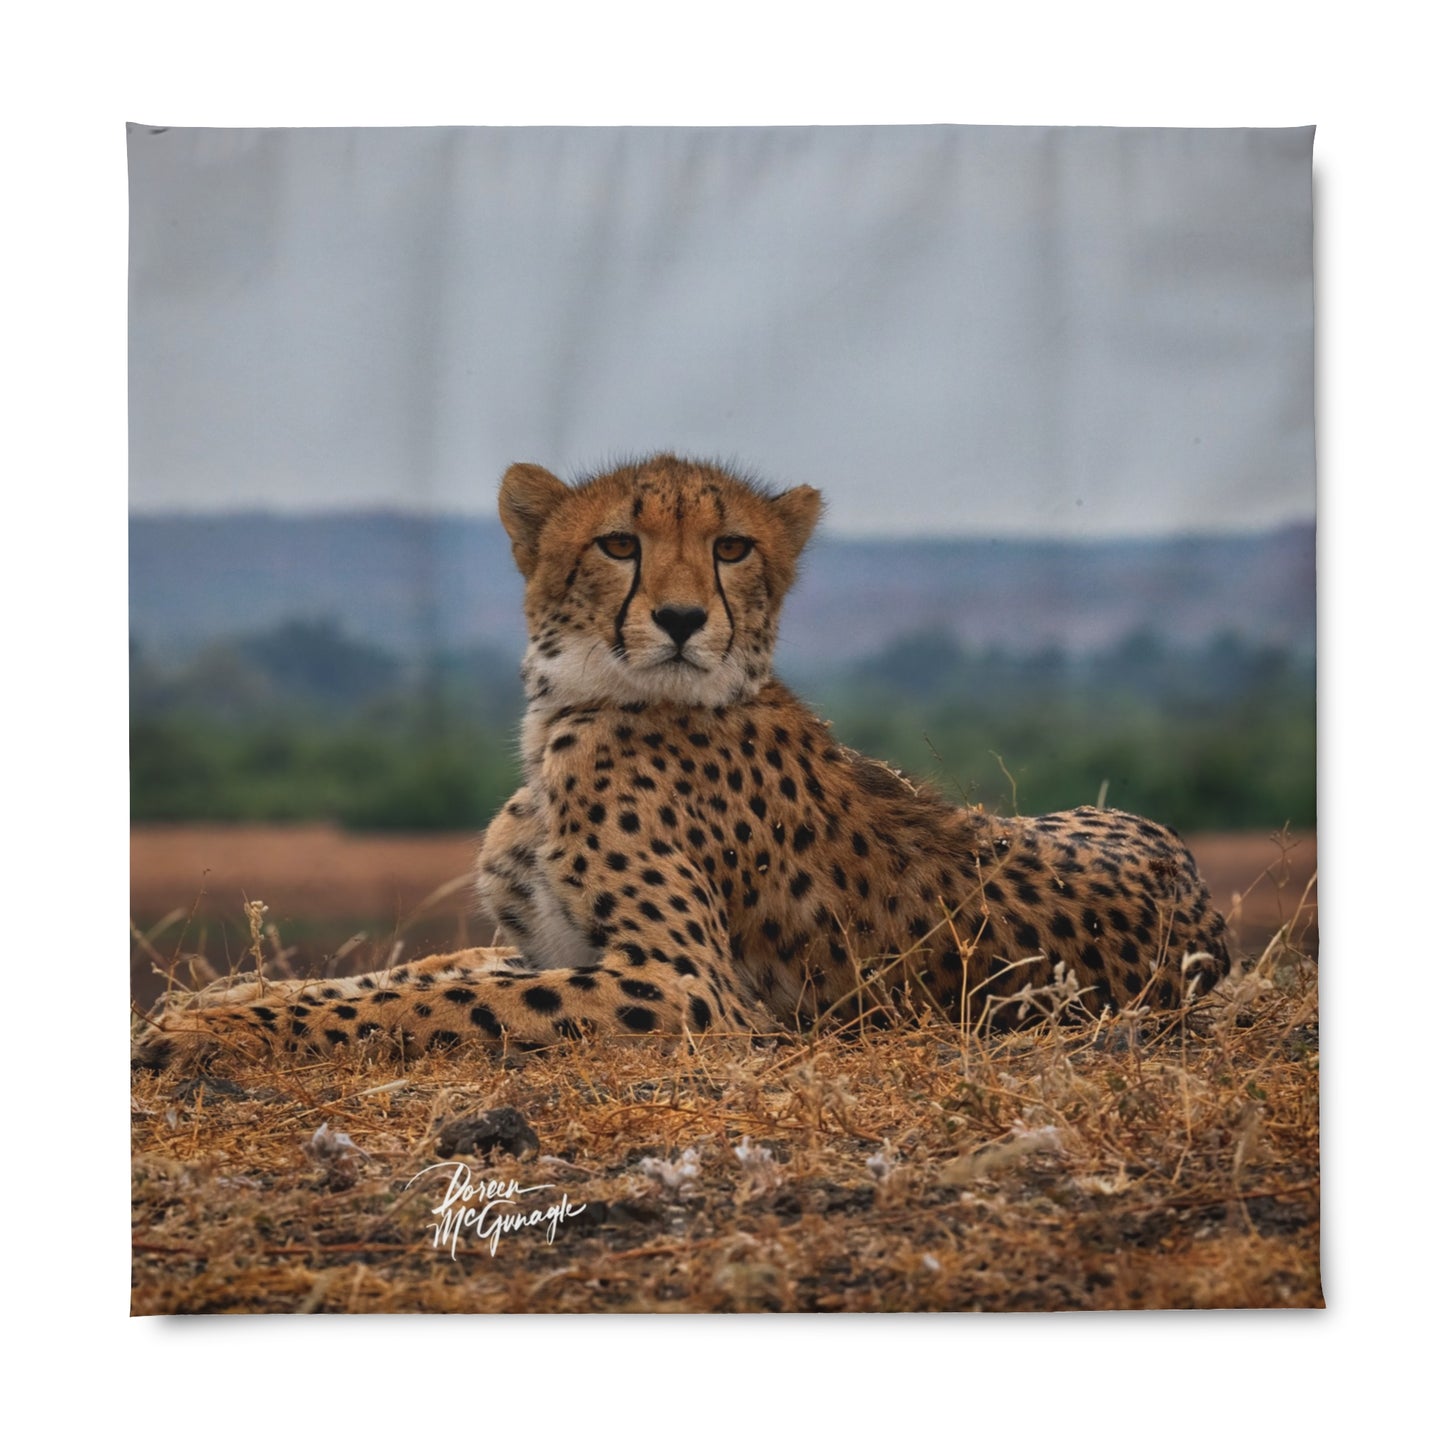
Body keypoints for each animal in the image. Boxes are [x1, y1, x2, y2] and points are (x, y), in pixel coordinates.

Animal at [133, 453, 1230, 1071]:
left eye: (732, 547)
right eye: (618, 542)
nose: (678, 616)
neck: (573, 707)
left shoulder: (683, 986)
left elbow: (431, 1000)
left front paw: (210, 1032)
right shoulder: (552, 943)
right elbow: (408, 974)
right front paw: (210, 1003)